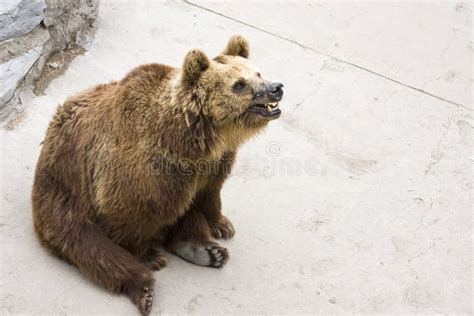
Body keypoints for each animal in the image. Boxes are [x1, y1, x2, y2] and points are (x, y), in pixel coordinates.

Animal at [31, 34, 284, 314]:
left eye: (257, 72)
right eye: (239, 84)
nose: (276, 87)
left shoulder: (214, 162)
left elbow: (210, 192)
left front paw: (222, 224)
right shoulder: (141, 170)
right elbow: (131, 213)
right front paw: (150, 256)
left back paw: (203, 250)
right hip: (63, 196)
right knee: (88, 245)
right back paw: (145, 286)